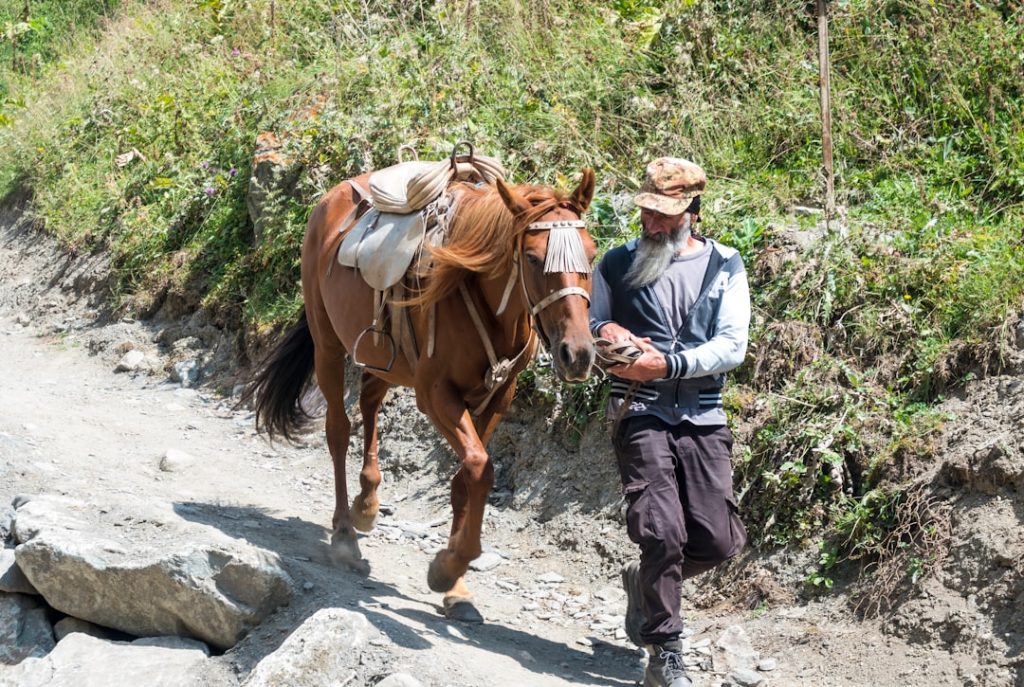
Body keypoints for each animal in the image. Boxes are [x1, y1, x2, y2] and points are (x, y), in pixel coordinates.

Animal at [244, 167, 598, 621]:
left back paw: (367, 503)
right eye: (534, 259)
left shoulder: (498, 395)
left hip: (386, 358)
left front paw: (457, 587)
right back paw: (345, 534)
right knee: (338, 430)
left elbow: (468, 477)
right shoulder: (435, 395)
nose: (578, 354)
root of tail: (336, 194)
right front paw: (449, 567)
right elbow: (479, 468)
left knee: (370, 402)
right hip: (328, 345)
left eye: (591, 254)